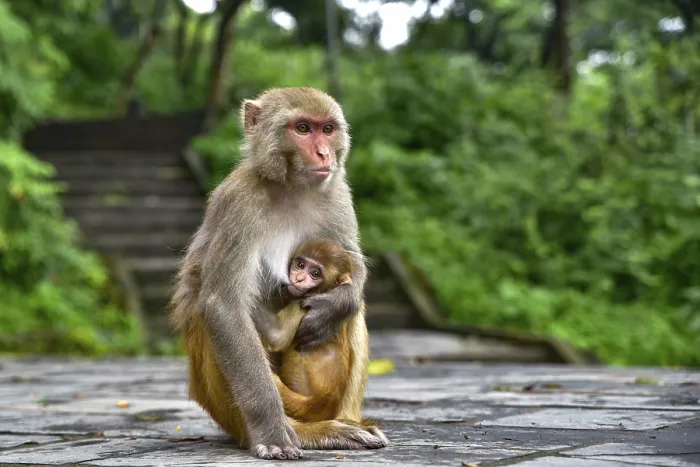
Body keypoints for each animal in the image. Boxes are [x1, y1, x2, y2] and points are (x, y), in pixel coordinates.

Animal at [169, 87, 389, 460]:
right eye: (302, 129)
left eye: (327, 129)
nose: (323, 152)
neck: (291, 188)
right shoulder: (239, 204)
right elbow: (223, 305)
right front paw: (272, 431)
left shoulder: (338, 193)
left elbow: (352, 263)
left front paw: (336, 305)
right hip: (219, 402)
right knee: (211, 314)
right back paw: (306, 432)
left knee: (354, 313)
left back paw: (346, 422)